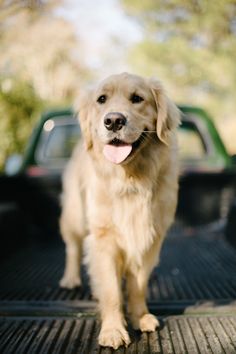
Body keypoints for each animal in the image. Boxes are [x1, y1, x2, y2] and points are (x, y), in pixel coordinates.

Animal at [59, 72, 179, 348]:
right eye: (101, 99)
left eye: (137, 98)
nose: (113, 120)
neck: (130, 179)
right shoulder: (104, 238)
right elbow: (112, 291)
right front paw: (113, 330)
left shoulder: (150, 238)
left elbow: (138, 285)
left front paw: (140, 317)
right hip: (75, 214)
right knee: (73, 247)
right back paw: (71, 278)